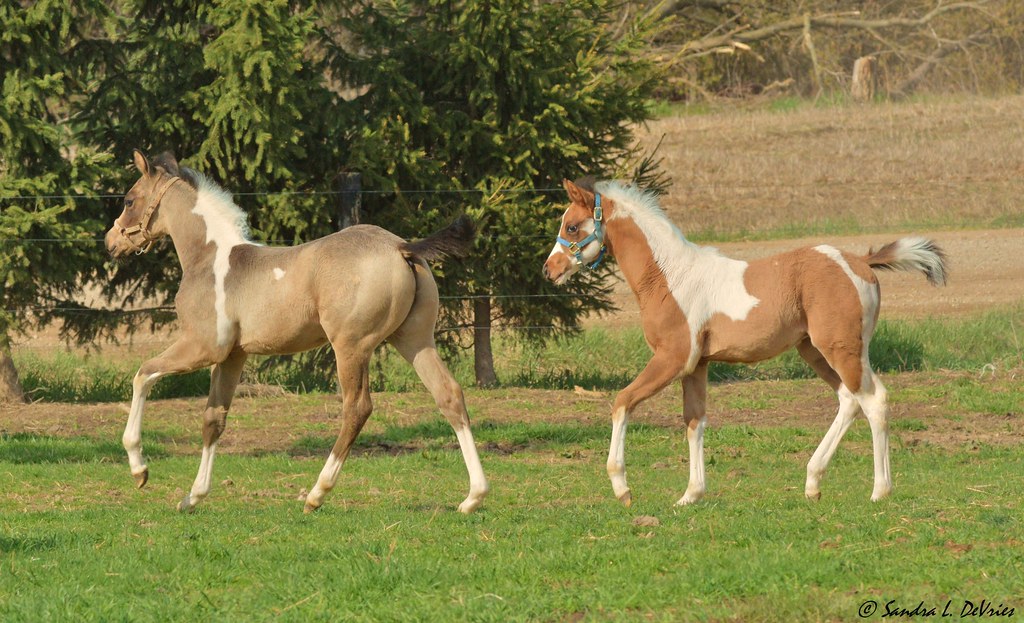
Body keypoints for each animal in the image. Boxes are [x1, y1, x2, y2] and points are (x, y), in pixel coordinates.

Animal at [104, 150, 489, 514]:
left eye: (129, 199)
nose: (111, 242)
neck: (209, 257)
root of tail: (402, 247)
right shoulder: (233, 356)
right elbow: (213, 420)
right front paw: (193, 497)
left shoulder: (203, 347)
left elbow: (143, 375)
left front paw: (139, 469)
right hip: (415, 339)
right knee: (449, 395)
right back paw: (473, 497)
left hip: (351, 346)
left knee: (357, 407)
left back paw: (317, 494)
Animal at [543, 178, 947, 506]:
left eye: (572, 226)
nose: (549, 270)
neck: (670, 277)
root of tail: (860, 260)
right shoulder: (696, 365)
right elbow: (694, 421)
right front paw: (691, 495)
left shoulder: (673, 358)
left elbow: (622, 402)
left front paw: (622, 489)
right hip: (814, 350)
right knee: (850, 400)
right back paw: (813, 483)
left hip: (841, 348)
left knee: (874, 400)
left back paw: (879, 491)